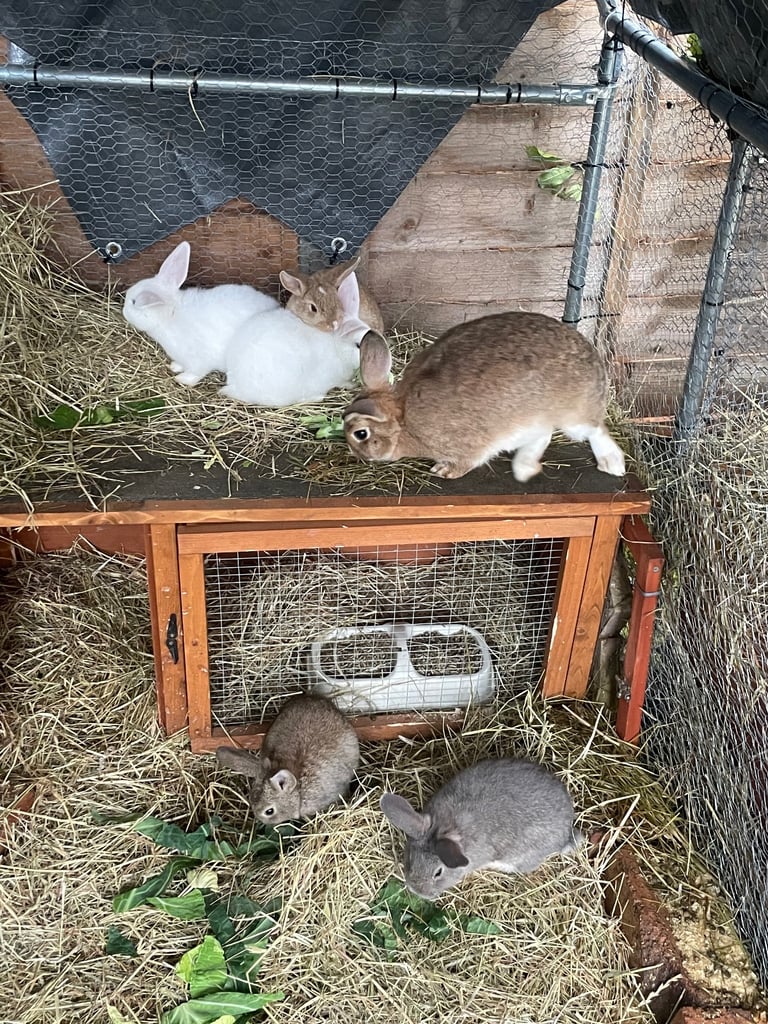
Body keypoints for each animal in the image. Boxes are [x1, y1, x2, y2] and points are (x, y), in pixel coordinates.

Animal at [122, 240, 279, 386]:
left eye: (134, 302)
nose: (123, 311)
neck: (170, 314)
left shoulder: (198, 360)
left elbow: (196, 373)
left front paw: (182, 379)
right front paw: (175, 367)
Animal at [343, 311, 626, 482]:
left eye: (360, 434)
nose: (358, 456)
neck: (404, 422)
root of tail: (596, 361)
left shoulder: (468, 446)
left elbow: (468, 461)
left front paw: (444, 470)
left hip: (573, 419)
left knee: (595, 430)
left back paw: (613, 465)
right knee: (543, 435)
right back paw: (524, 469)